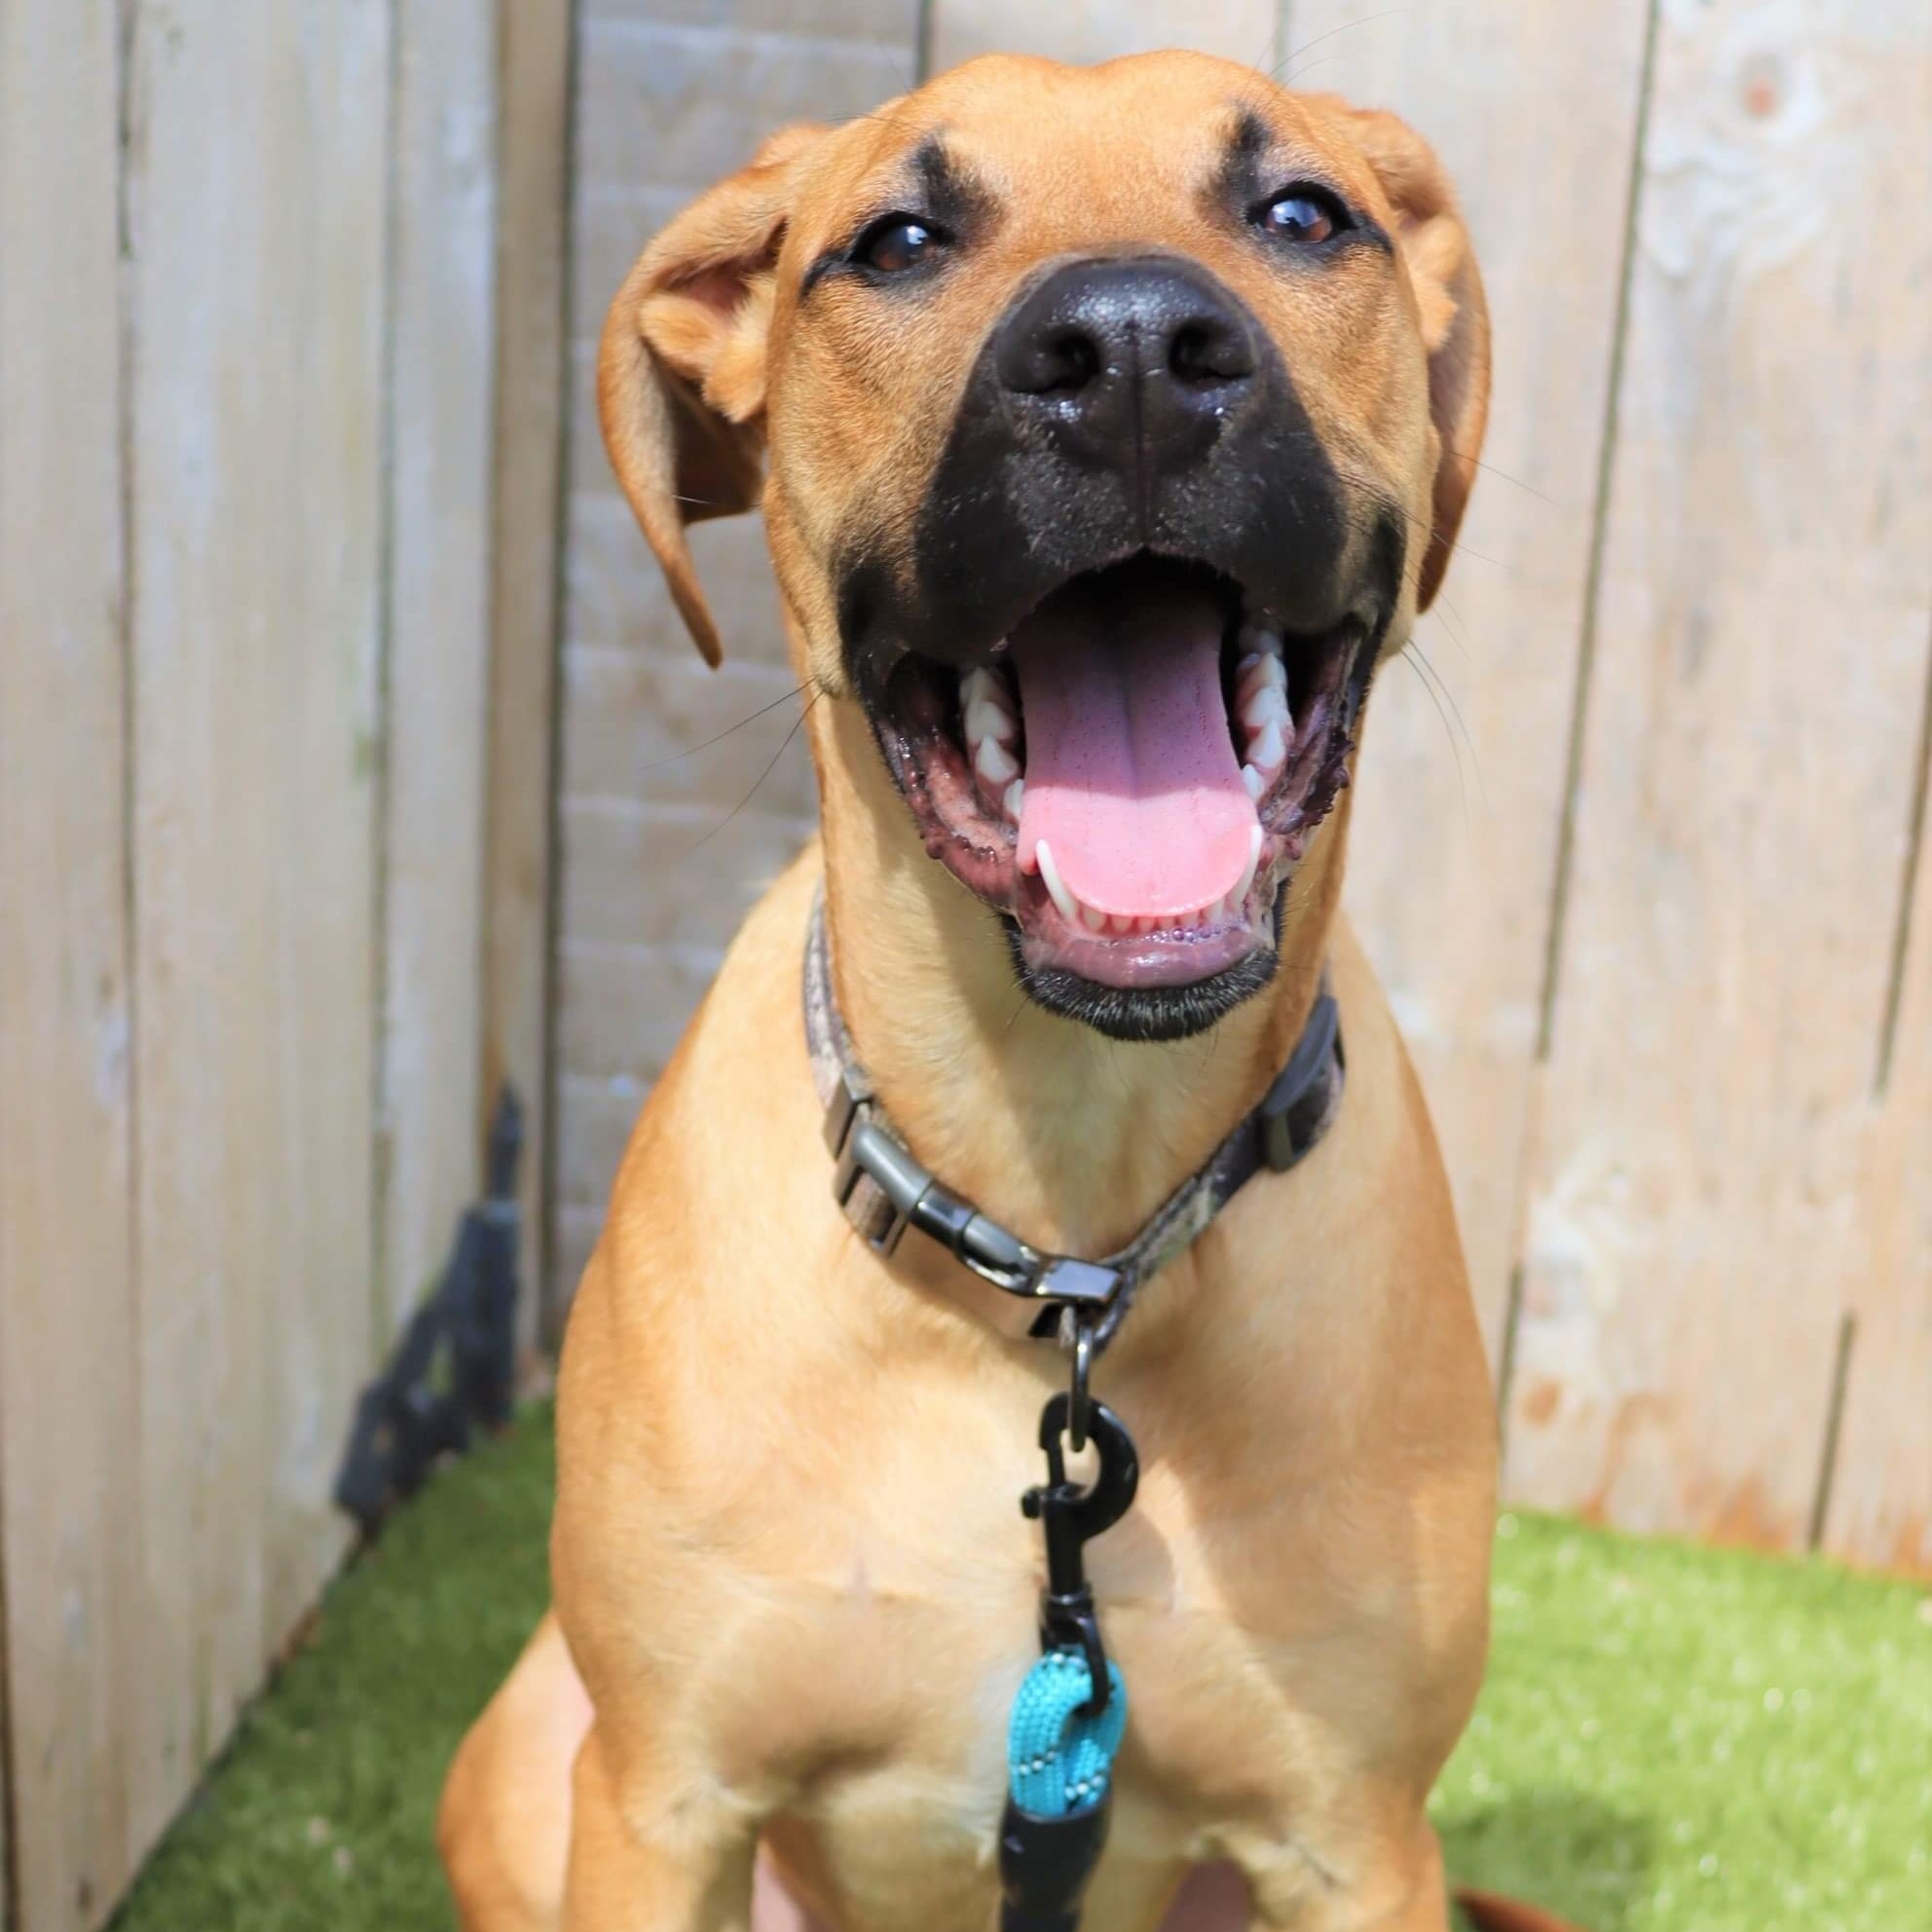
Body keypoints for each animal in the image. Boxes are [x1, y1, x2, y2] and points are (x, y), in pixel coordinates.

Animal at [442, 45, 1583, 1932]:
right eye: (896, 240)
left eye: (1301, 215)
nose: (1130, 354)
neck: (1060, 1234)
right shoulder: (661, 1797)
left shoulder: (1356, 1839)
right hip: (529, 1751)